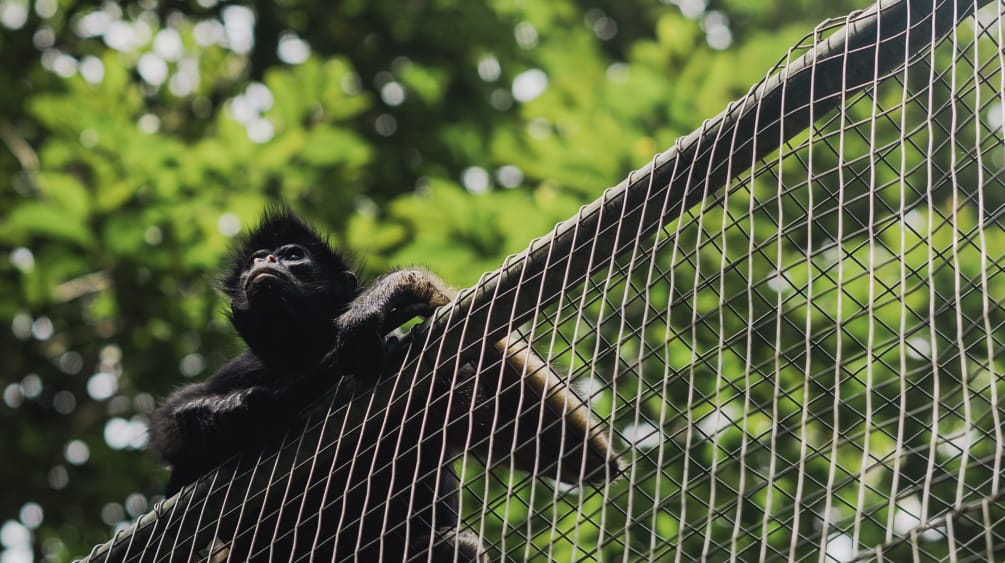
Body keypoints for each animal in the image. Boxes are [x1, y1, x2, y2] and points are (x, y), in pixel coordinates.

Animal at [146, 209, 619, 558]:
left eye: (293, 254)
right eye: (255, 258)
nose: (266, 262)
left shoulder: (427, 379)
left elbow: (589, 458)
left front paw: (395, 290)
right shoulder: (247, 367)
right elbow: (169, 430)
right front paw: (240, 408)